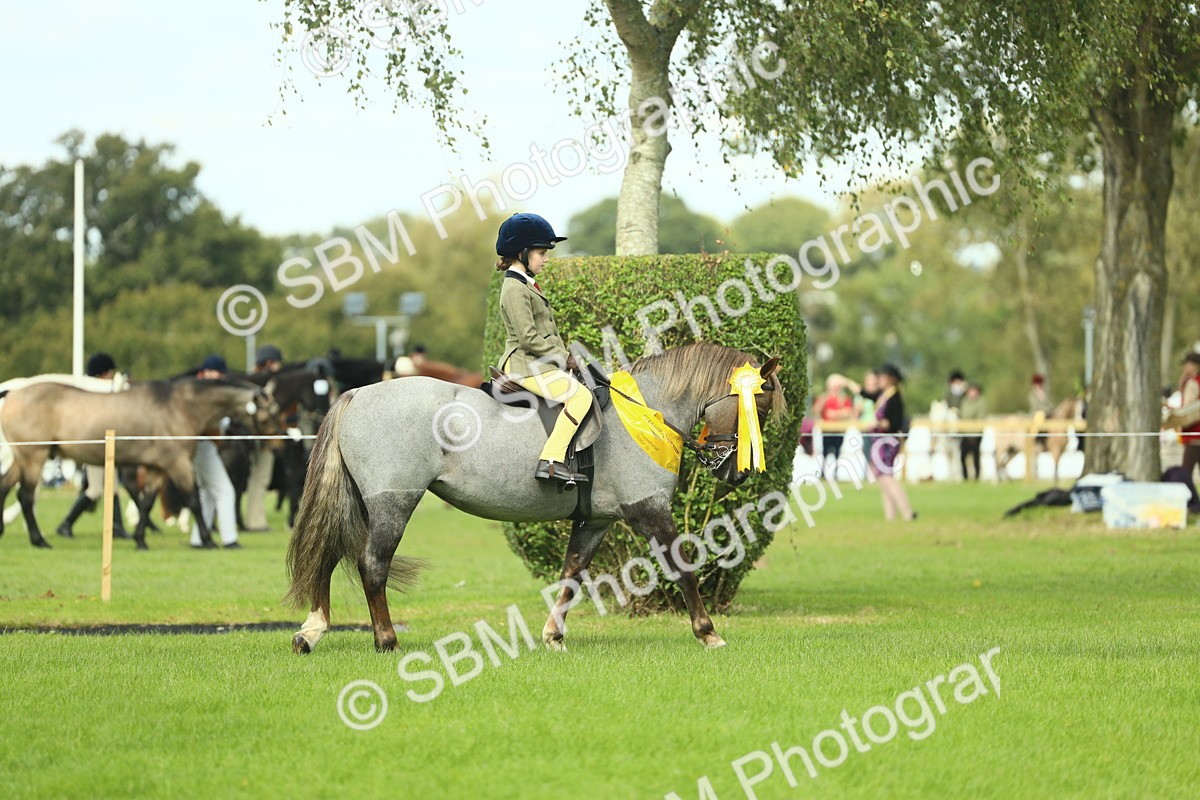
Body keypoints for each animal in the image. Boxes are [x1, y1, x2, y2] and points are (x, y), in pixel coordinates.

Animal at [0, 378, 281, 549]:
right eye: (269, 415)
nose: (278, 445)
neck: (181, 407)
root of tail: (13, 393)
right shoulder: (178, 465)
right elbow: (193, 501)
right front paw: (208, 540)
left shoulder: (158, 469)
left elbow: (146, 503)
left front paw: (140, 540)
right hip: (33, 458)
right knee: (25, 497)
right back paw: (39, 540)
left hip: (22, 459)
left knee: (5, 487)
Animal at [285, 341, 784, 654]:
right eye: (757, 406)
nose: (737, 472)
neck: (643, 415)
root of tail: (357, 394)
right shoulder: (649, 510)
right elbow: (683, 568)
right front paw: (709, 633)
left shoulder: (595, 520)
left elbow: (572, 574)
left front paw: (553, 636)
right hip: (393, 503)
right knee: (372, 565)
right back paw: (386, 640)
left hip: (358, 502)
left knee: (329, 552)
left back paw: (312, 632)